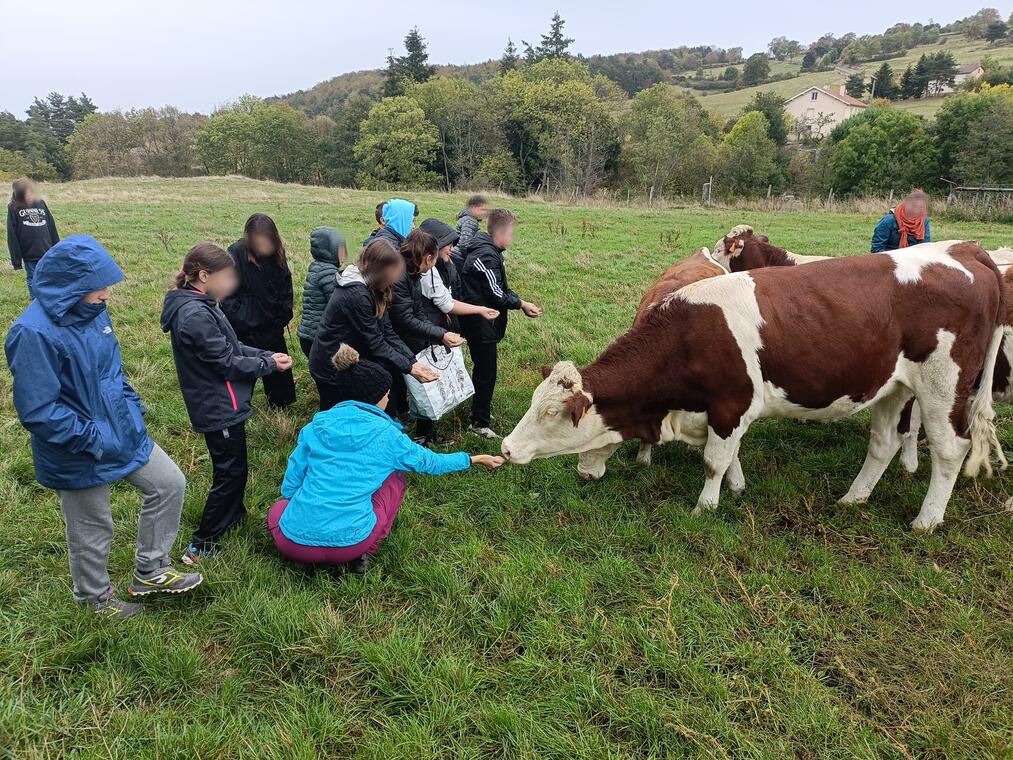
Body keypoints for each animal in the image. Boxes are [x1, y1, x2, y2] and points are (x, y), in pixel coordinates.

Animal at [504, 241, 1004, 530]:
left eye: (551, 413)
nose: (507, 449)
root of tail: (966, 253)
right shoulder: (724, 411)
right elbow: (730, 455)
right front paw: (737, 486)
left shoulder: (730, 403)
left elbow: (713, 461)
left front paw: (705, 507)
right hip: (893, 387)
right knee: (883, 443)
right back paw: (853, 498)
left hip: (942, 387)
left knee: (950, 450)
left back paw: (927, 520)